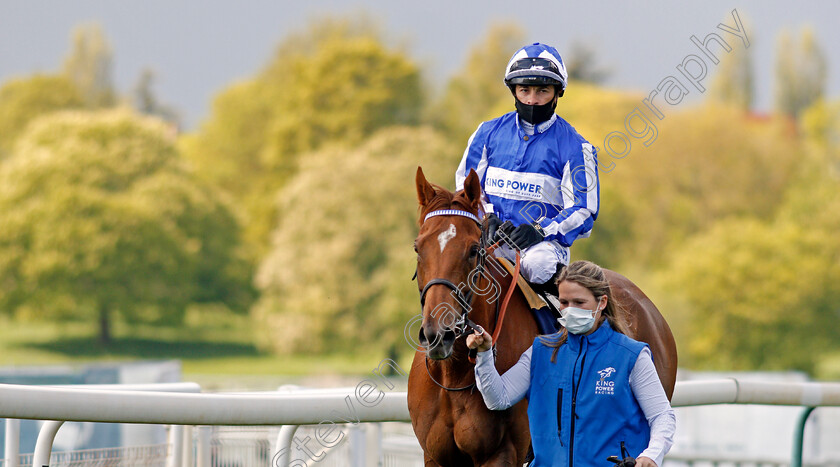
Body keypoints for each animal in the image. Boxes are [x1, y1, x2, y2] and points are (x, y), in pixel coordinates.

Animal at [406, 166, 676, 466]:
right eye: (418, 248)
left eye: (473, 250)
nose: (438, 335)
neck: (454, 376)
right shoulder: (434, 456)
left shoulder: (503, 454)